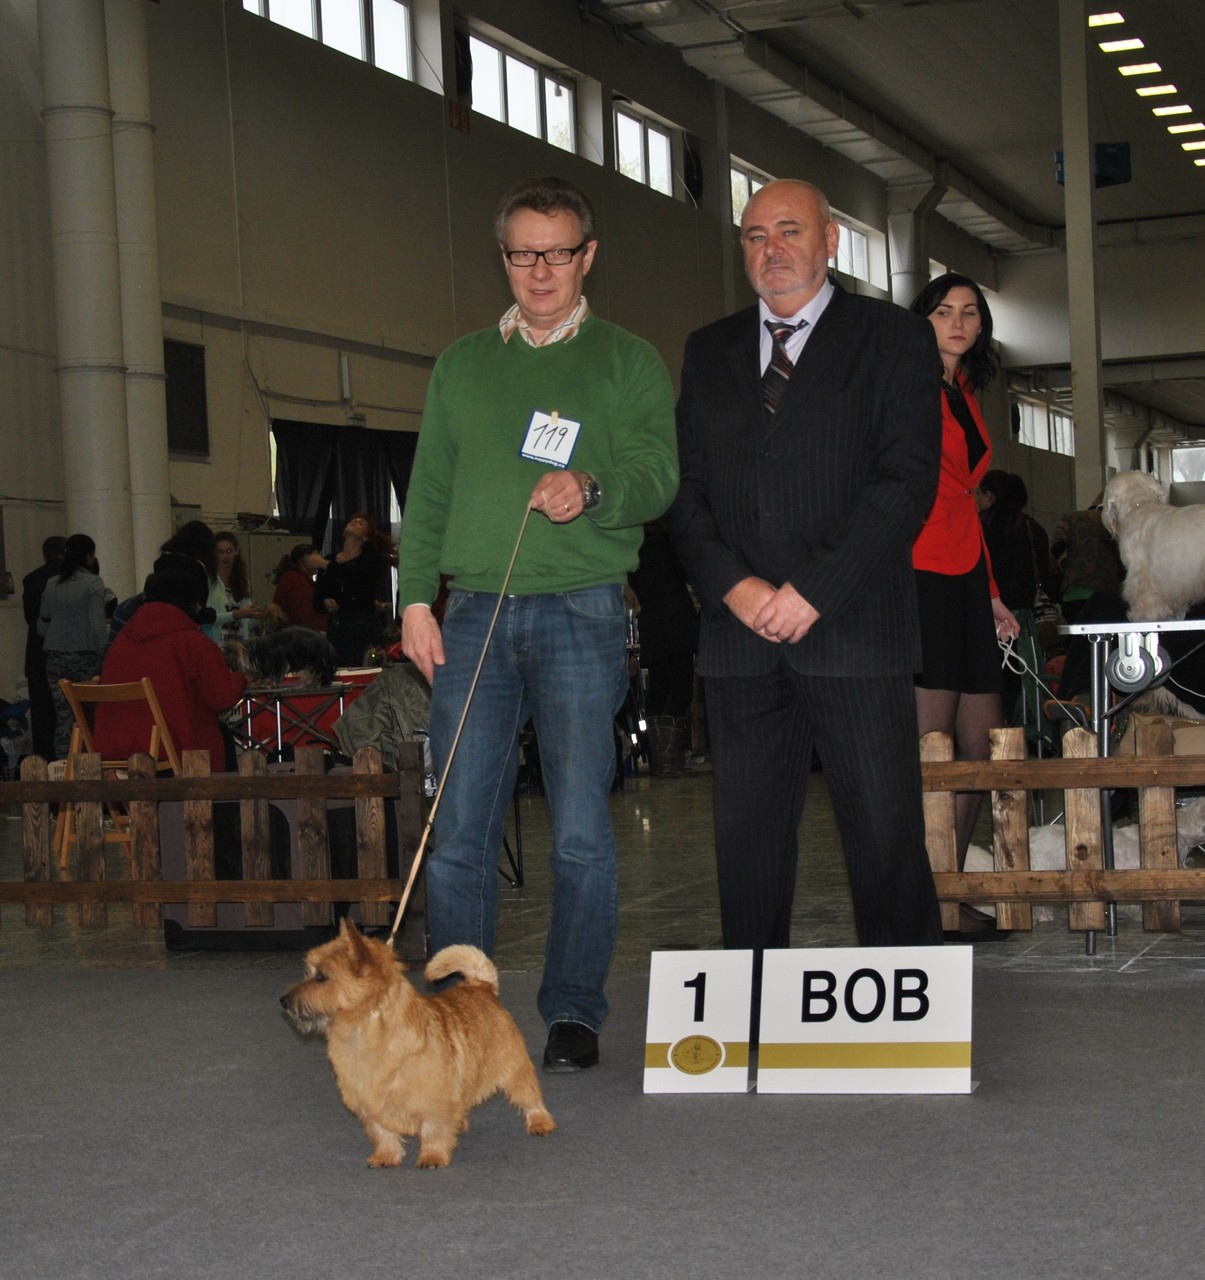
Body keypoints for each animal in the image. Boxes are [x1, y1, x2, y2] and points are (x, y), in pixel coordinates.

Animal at [284, 921, 558, 1172]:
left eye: (322, 977)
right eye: (308, 972)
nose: (283, 1000)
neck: (364, 1030)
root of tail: (481, 986)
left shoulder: (433, 1102)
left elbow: (432, 1131)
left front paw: (432, 1157)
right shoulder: (370, 1101)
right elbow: (382, 1132)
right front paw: (386, 1156)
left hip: (514, 1068)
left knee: (530, 1096)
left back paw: (540, 1123)